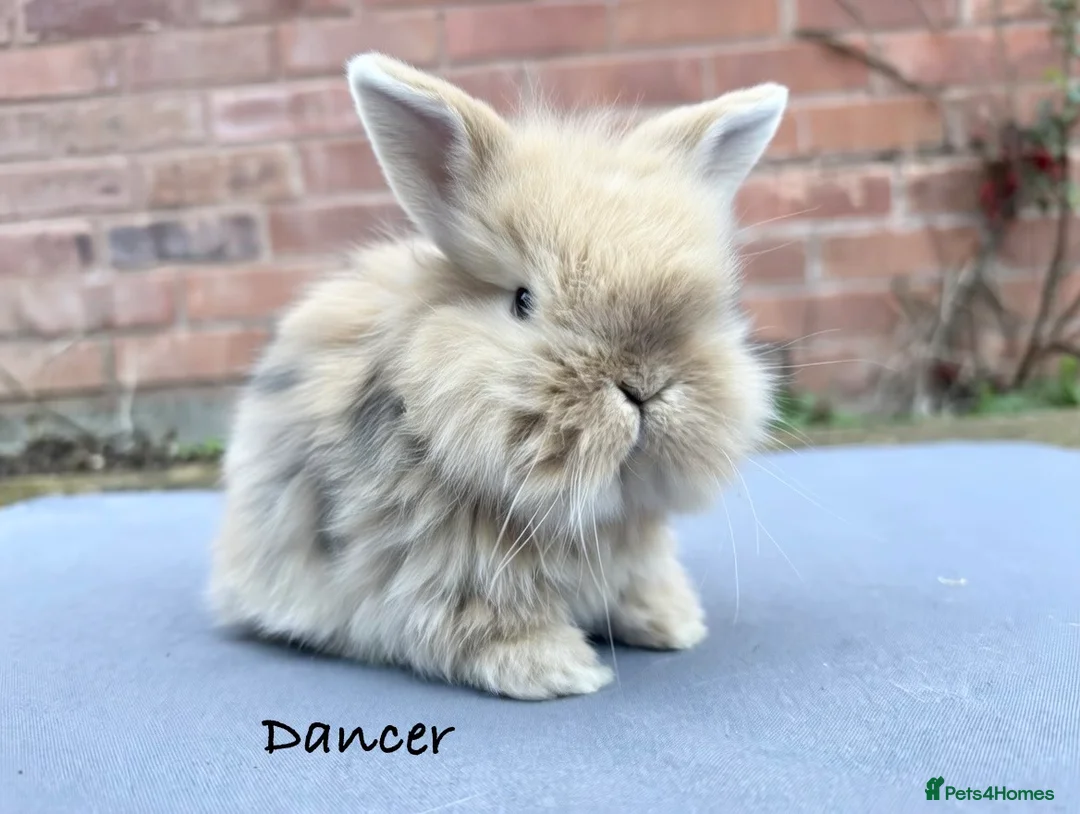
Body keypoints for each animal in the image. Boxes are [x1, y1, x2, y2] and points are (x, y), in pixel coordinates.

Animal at [207, 51, 788, 701]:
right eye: (523, 301)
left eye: (712, 309)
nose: (643, 385)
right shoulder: (447, 572)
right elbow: (481, 621)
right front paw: (560, 669)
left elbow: (641, 584)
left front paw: (674, 624)